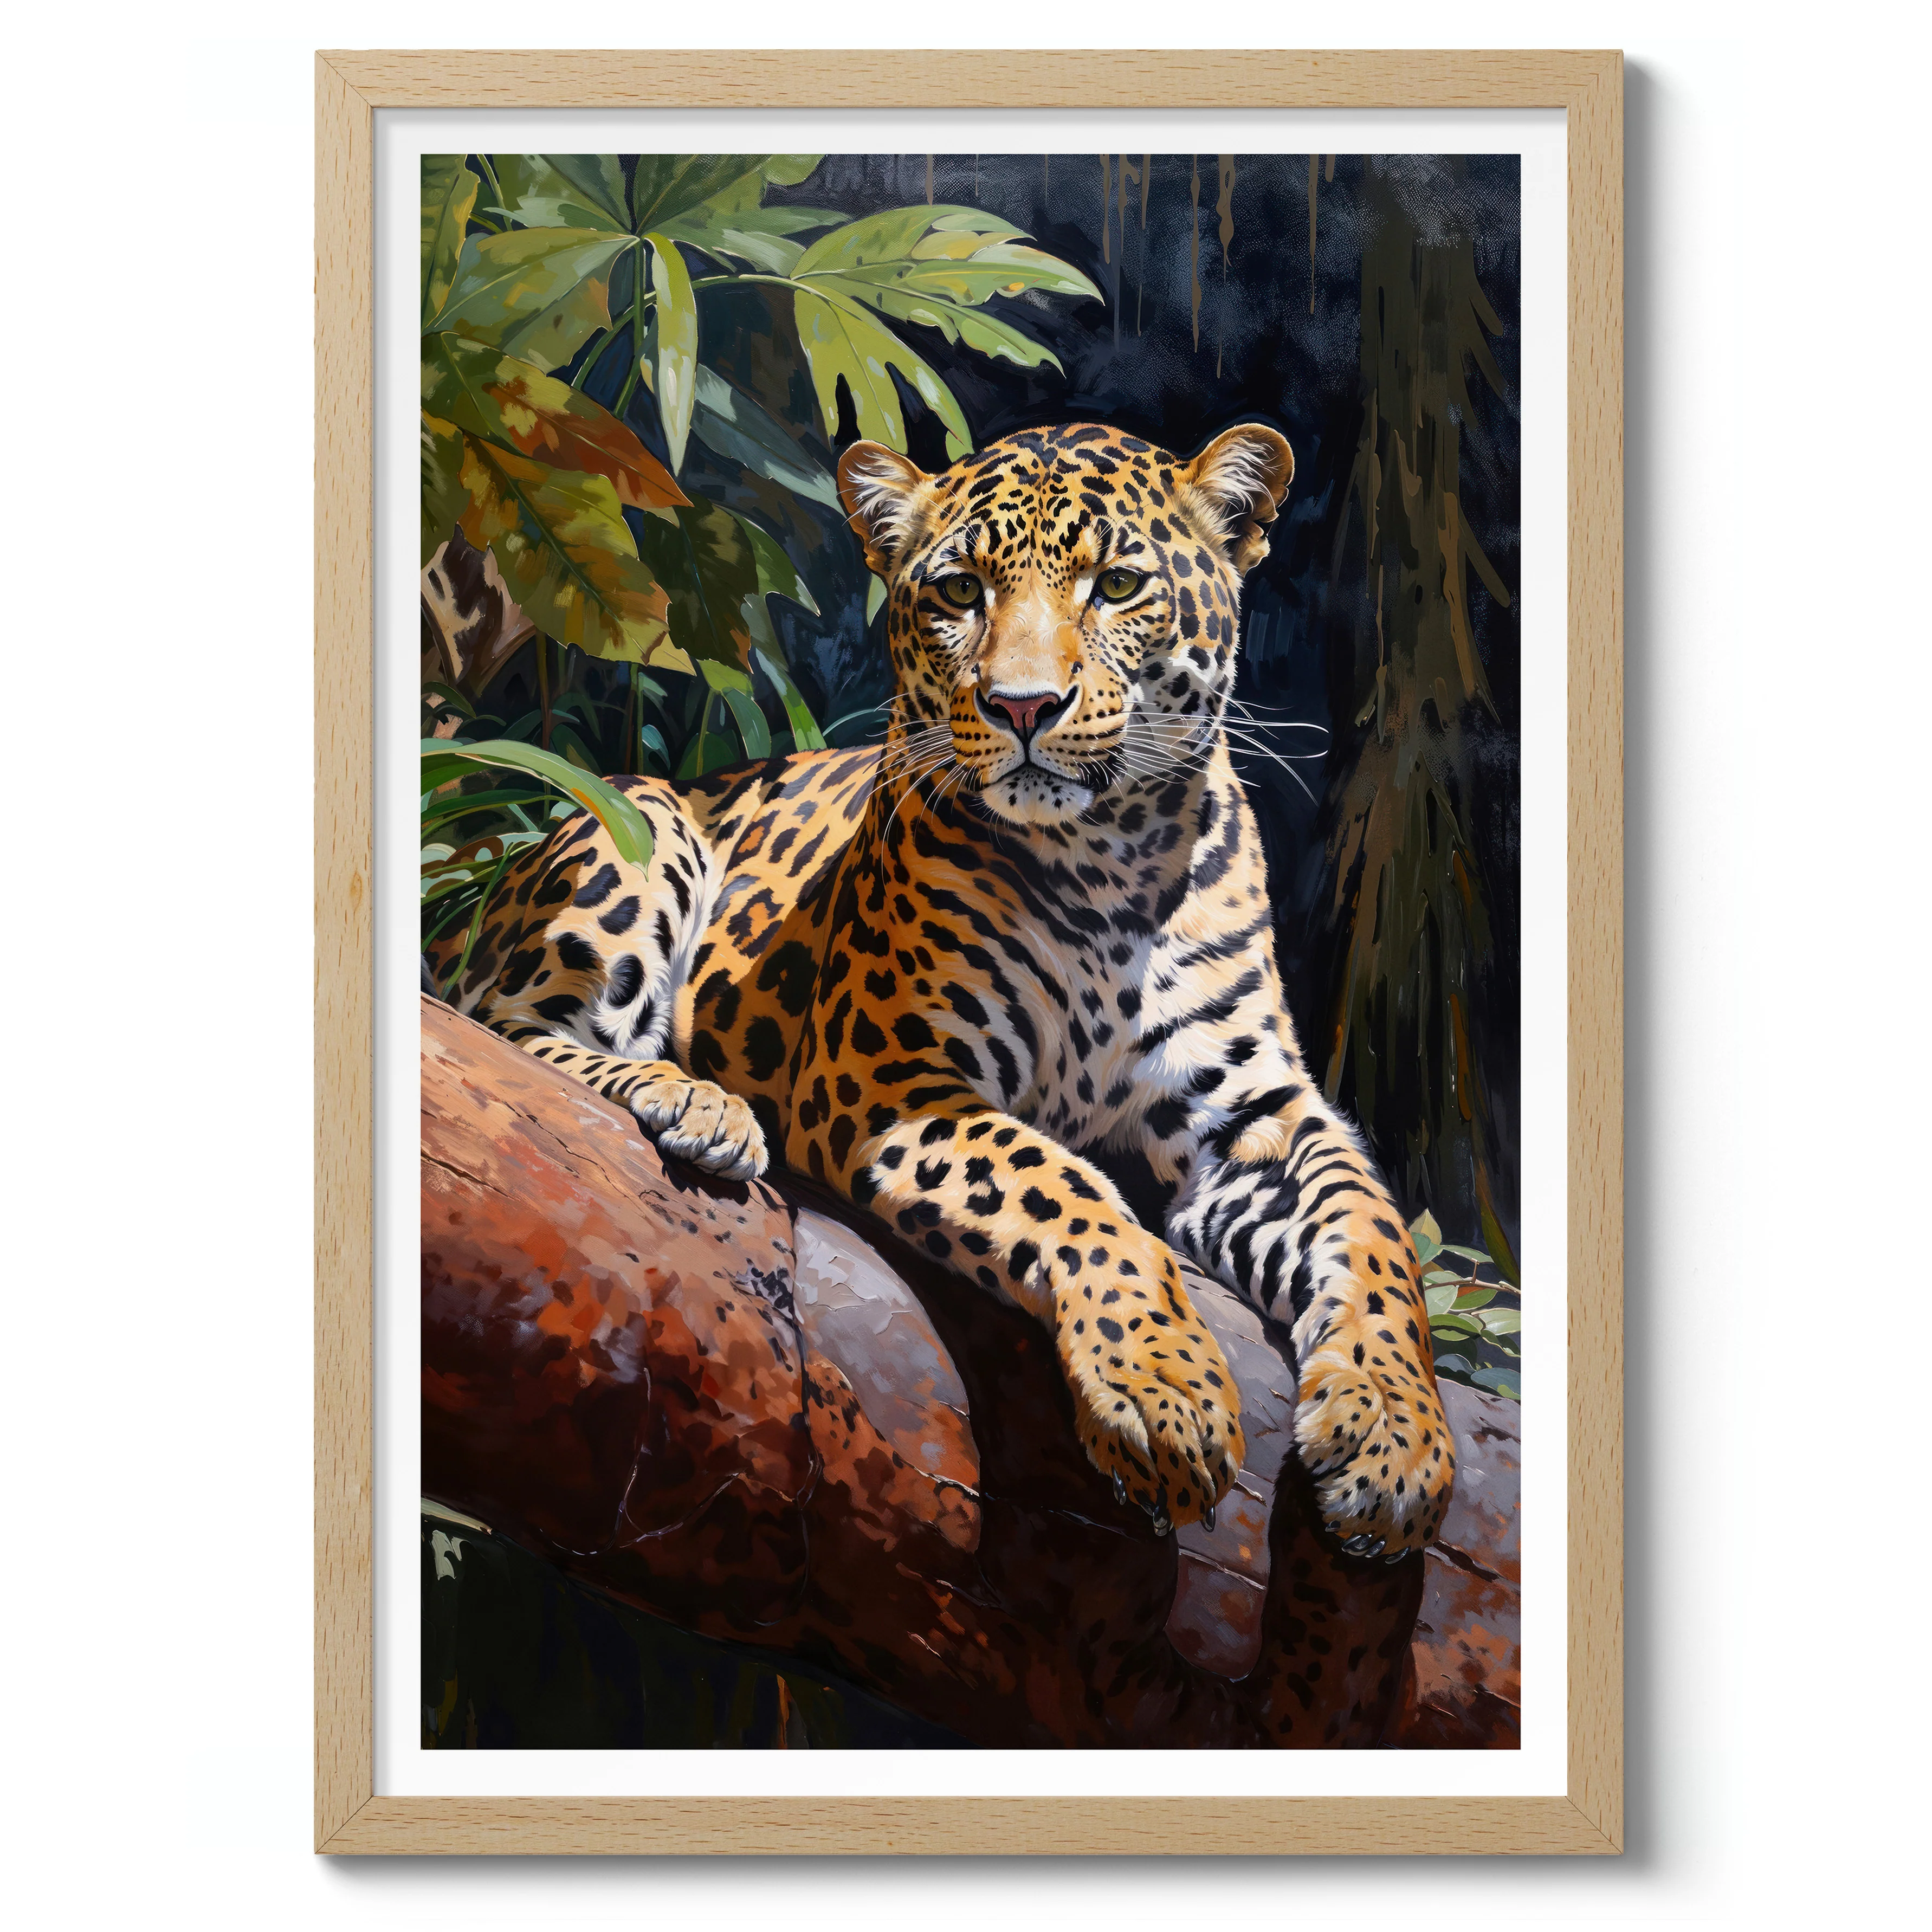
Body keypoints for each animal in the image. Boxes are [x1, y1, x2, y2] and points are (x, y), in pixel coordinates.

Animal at [426, 420, 1455, 1558]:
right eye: (960, 590)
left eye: (1118, 585)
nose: (1022, 706)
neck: (1111, 864)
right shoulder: (887, 1080)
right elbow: (1065, 1184)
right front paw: (1161, 1389)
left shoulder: (1258, 1119)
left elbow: (1373, 1233)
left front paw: (1394, 1441)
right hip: (642, 820)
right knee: (504, 1026)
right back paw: (695, 1103)